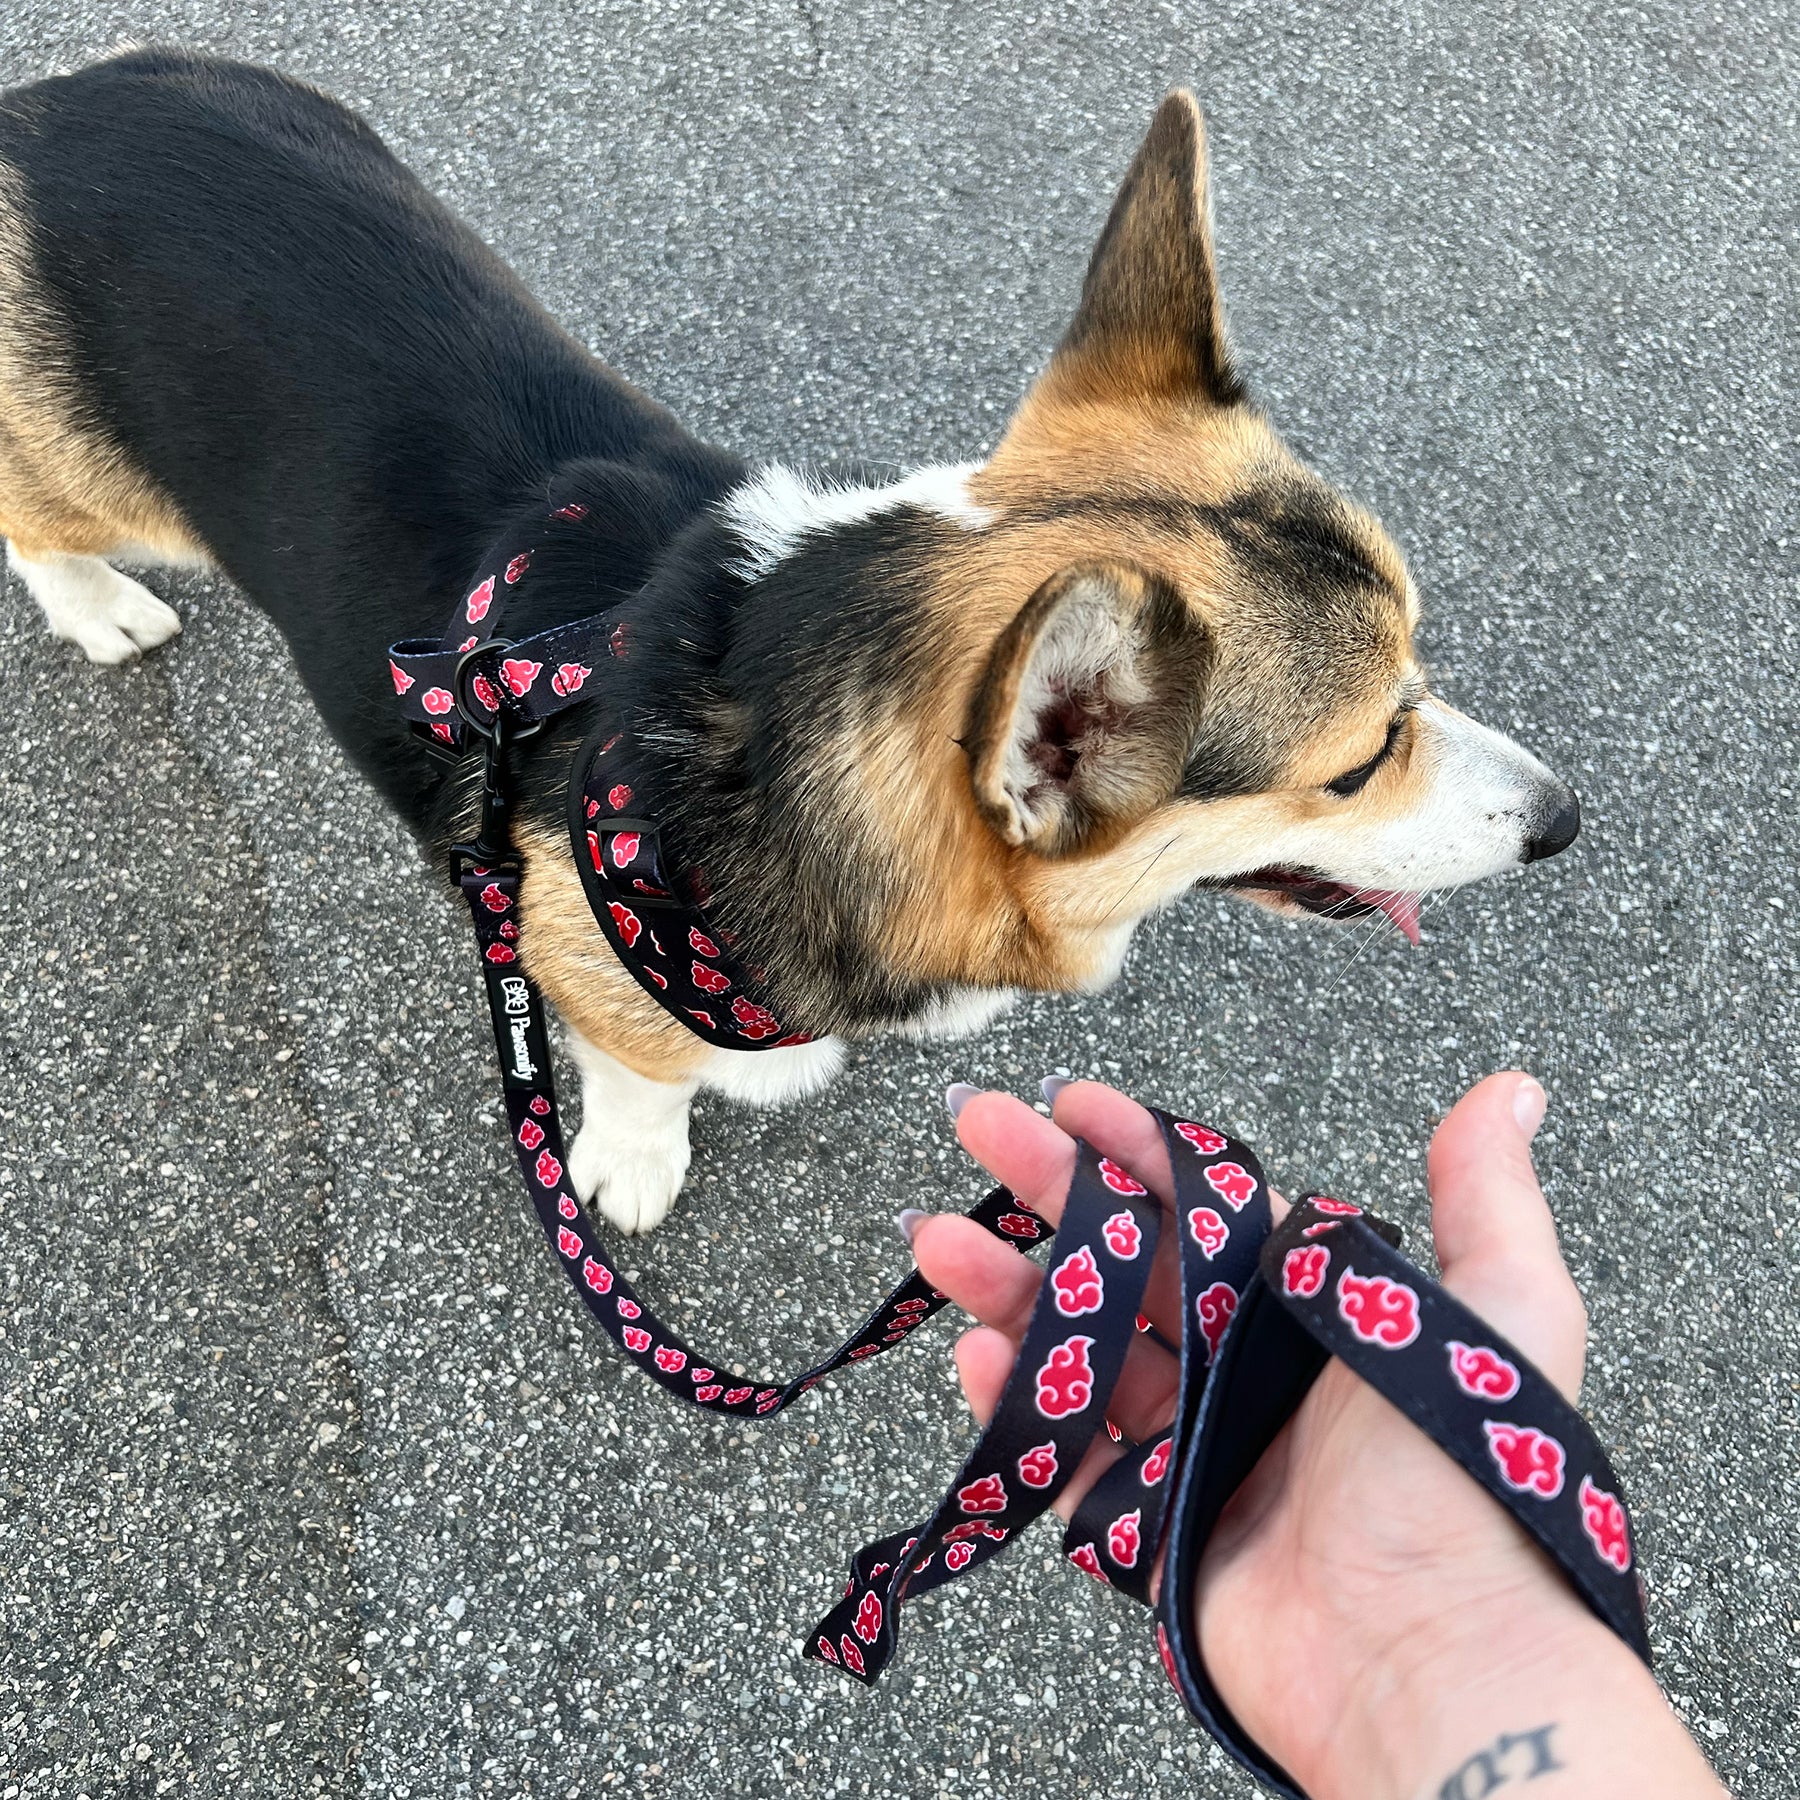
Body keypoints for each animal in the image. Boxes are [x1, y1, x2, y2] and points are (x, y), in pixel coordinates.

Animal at [0, 59, 1576, 1238]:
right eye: (1361, 760)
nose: (1565, 822)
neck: (759, 739)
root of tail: (51, 98)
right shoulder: (586, 965)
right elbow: (643, 1075)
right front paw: (632, 1165)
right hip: (99, 487)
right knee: (35, 516)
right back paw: (100, 608)